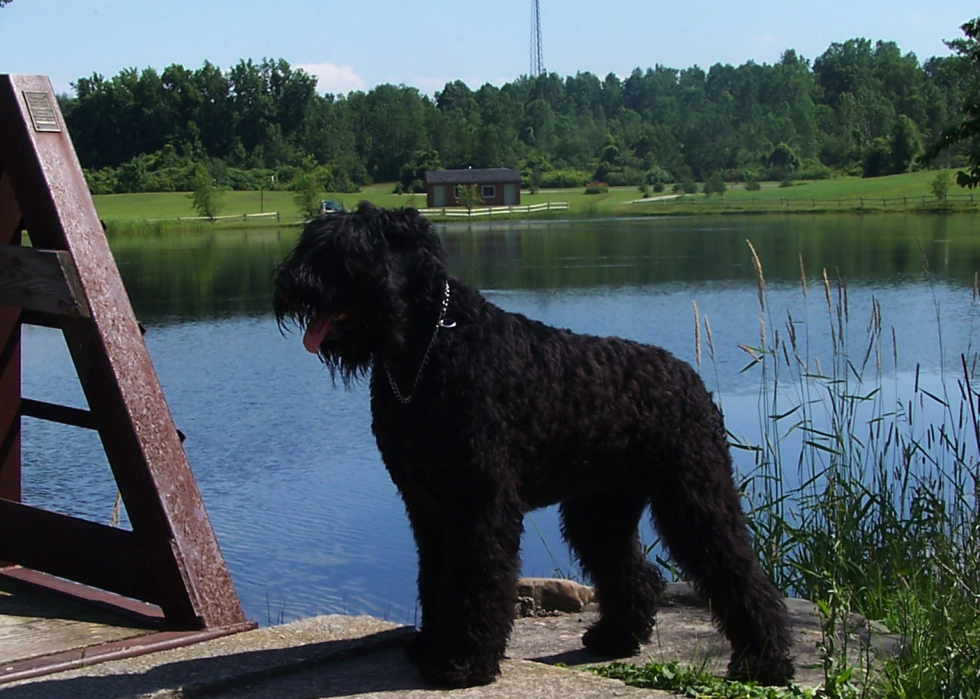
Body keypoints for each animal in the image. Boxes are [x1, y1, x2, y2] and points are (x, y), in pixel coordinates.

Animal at [272, 202, 792, 688]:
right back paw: (615, 637)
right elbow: (436, 577)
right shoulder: (427, 504)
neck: (427, 351)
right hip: (600, 510)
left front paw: (464, 662)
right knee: (635, 572)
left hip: (694, 498)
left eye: (347, 250)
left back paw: (763, 661)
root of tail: (689, 378)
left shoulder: (479, 501)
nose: (289, 283)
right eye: (310, 243)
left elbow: (476, 578)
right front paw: (432, 644)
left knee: (739, 573)